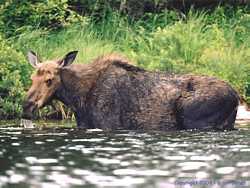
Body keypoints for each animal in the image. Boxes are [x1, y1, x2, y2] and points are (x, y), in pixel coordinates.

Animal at [22, 51, 239, 131]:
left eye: (49, 80)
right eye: (31, 78)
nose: (26, 106)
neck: (78, 100)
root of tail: (236, 97)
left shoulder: (108, 124)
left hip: (195, 120)